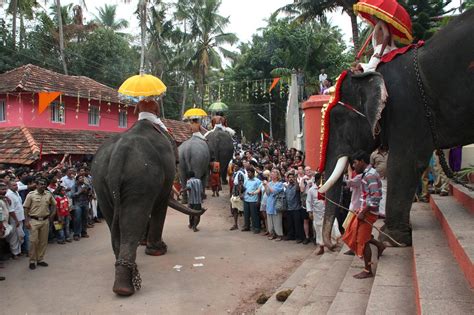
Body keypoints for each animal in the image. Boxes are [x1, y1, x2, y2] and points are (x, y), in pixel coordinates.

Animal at [91, 119, 205, 298]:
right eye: (176, 162)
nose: (203, 209)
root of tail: (118, 154)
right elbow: (160, 205)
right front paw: (158, 250)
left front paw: (146, 244)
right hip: (141, 177)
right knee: (134, 217)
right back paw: (124, 288)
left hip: (100, 181)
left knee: (115, 219)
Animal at [318, 9, 474, 247]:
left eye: (338, 120)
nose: (333, 244)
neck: (371, 72)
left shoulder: (407, 106)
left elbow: (403, 162)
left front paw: (391, 238)